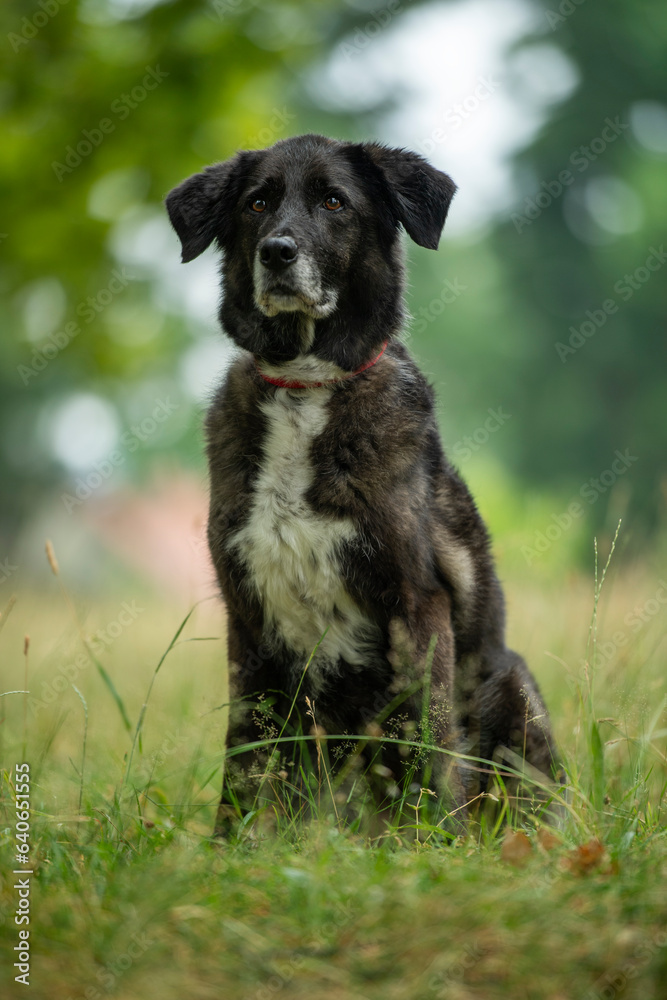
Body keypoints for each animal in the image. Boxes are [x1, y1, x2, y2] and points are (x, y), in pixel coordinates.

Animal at [166, 135, 560, 836]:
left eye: (334, 201)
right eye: (257, 202)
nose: (277, 251)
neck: (307, 385)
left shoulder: (416, 604)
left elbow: (428, 739)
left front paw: (436, 841)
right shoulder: (249, 617)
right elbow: (247, 754)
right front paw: (231, 844)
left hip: (510, 680)